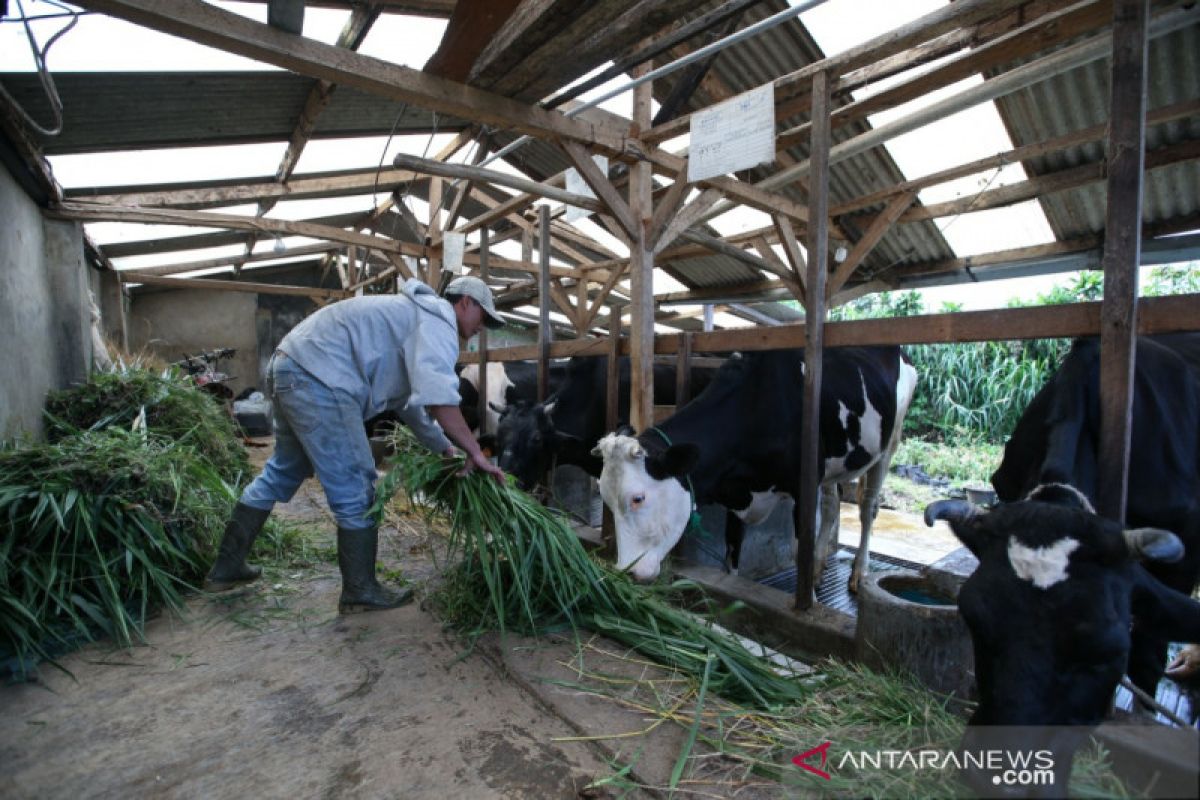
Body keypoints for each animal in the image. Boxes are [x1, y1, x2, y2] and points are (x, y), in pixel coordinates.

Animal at [592, 347, 916, 592]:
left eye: (638, 498)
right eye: (605, 499)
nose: (627, 571)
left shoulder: (803, 484)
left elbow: (800, 552)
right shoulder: (736, 494)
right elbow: (732, 552)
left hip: (890, 442)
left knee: (867, 507)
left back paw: (859, 573)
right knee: (832, 504)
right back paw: (821, 566)